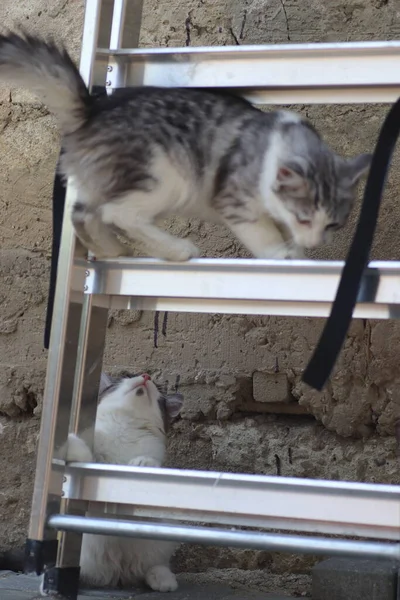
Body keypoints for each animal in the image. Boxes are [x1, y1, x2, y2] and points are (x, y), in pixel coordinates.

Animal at [0, 32, 372, 258]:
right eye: (305, 218)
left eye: (332, 224)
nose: (316, 241)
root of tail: (93, 108)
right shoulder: (236, 201)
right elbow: (264, 234)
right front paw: (282, 253)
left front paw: (296, 249)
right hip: (165, 178)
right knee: (118, 214)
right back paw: (178, 250)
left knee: (83, 214)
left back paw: (113, 251)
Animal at [41, 372, 183, 592]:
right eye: (125, 377)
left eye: (159, 395)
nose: (146, 376)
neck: (125, 427)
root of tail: (118, 574)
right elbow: (86, 456)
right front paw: (70, 439)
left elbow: (150, 466)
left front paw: (142, 463)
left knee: (154, 565)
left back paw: (163, 579)